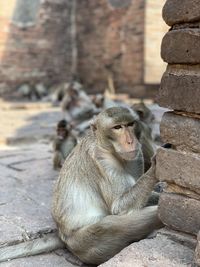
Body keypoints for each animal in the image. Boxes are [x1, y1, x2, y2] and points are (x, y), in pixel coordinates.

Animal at [51, 106, 162, 266]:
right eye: (117, 127)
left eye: (130, 124)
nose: (130, 141)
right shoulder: (102, 161)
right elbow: (118, 207)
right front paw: (156, 165)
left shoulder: (138, 156)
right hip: (84, 243)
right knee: (111, 225)